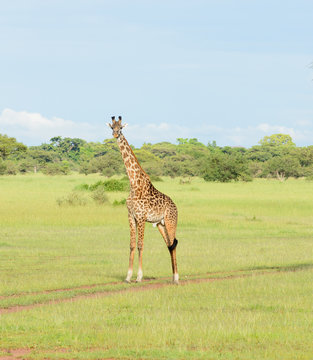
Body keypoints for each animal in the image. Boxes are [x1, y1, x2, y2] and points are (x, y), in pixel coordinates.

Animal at [106, 115, 178, 284]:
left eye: (121, 128)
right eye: (112, 127)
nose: (115, 134)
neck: (134, 183)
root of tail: (176, 207)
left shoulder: (141, 217)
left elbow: (140, 245)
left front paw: (139, 277)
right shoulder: (131, 216)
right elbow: (132, 245)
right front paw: (128, 276)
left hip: (171, 222)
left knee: (174, 244)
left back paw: (177, 277)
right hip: (160, 224)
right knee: (169, 244)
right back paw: (173, 277)